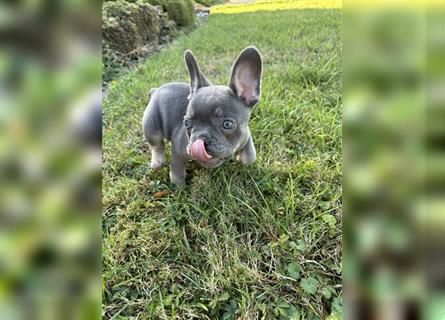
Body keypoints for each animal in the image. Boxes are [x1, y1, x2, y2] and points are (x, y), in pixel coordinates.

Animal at [142, 45, 262, 185]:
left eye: (227, 124)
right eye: (186, 123)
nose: (200, 139)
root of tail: (155, 91)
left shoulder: (246, 136)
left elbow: (250, 156)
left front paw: (246, 163)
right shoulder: (178, 153)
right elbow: (177, 173)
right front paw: (180, 187)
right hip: (152, 125)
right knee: (156, 144)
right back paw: (157, 161)